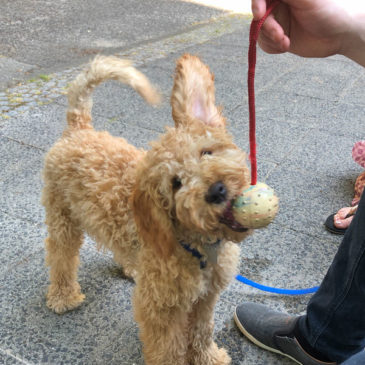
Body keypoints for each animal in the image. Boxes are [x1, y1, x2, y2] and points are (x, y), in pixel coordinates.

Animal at [42, 54, 252, 364]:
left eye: (206, 152)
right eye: (176, 183)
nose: (216, 190)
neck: (198, 246)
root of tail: (77, 129)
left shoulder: (206, 297)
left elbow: (202, 330)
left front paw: (208, 358)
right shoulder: (161, 308)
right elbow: (168, 349)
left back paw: (130, 268)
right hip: (62, 216)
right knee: (61, 255)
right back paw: (63, 297)